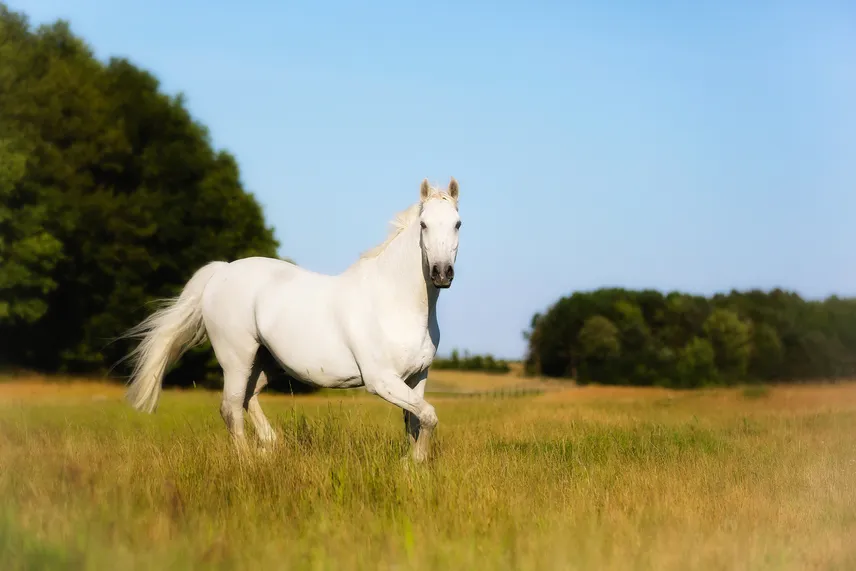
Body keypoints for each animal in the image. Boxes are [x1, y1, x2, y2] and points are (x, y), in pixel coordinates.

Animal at [122, 181, 462, 462]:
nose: (441, 273)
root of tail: (222, 271)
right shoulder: (381, 381)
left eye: (458, 223)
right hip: (237, 358)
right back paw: (247, 460)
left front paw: (411, 462)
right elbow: (429, 416)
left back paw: (270, 445)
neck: (395, 303)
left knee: (248, 398)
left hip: (265, 363)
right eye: (424, 224)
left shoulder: (417, 377)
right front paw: (414, 462)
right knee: (231, 407)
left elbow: (415, 421)